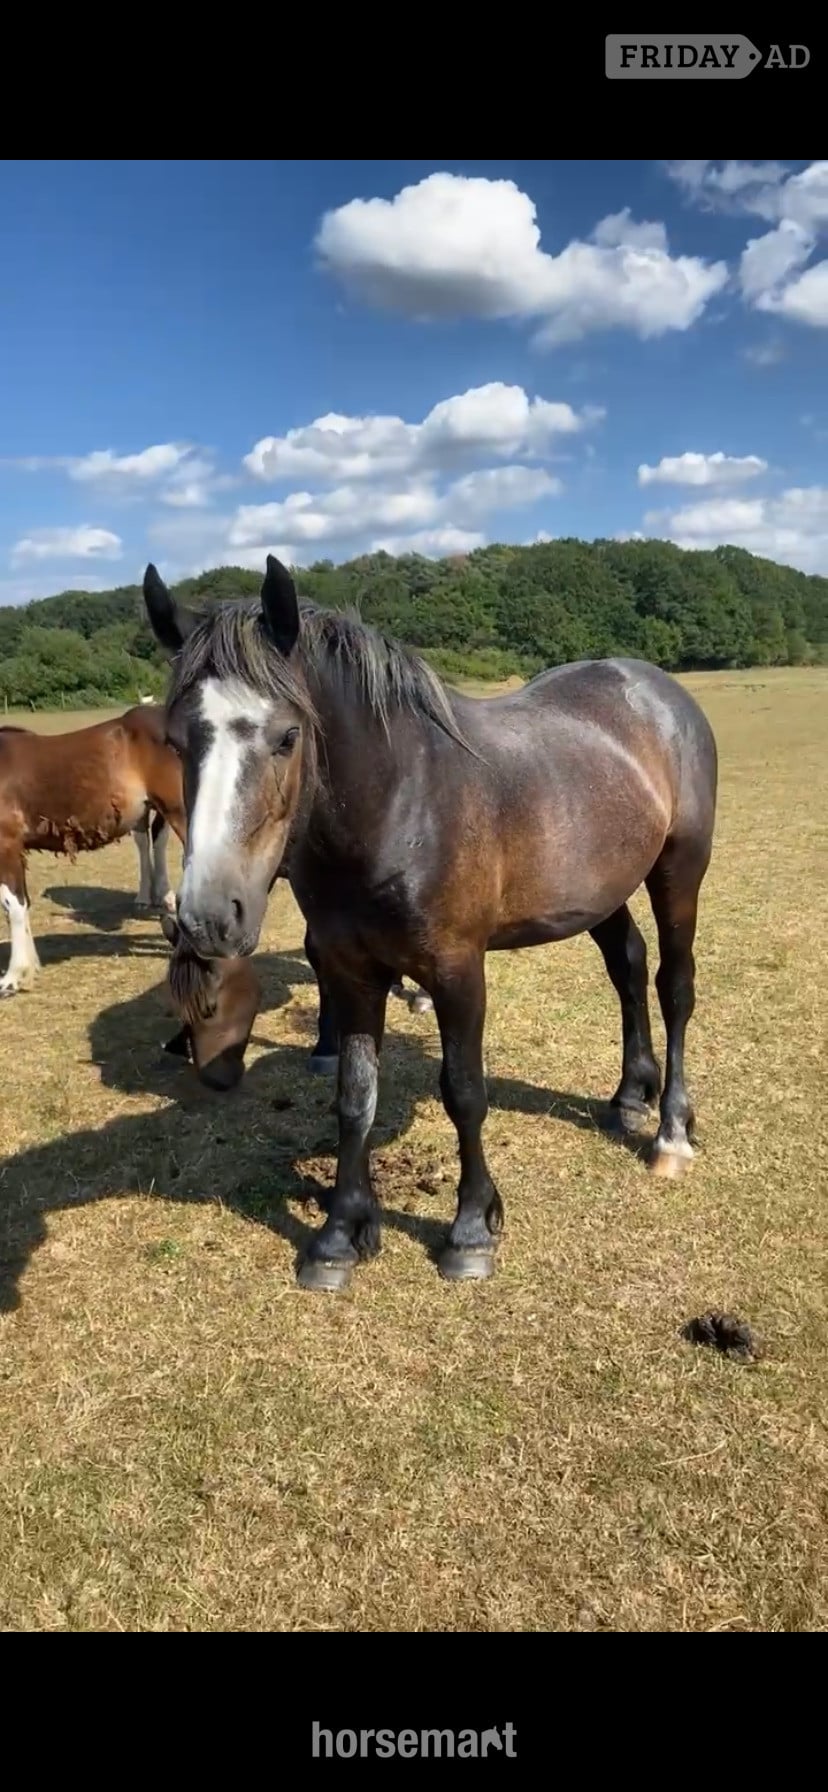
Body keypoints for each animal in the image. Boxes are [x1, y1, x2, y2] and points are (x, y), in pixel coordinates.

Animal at [142, 555, 718, 1296]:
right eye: (175, 741)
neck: (400, 805)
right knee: (627, 965)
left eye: (287, 737)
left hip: (679, 868)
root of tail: (655, 688)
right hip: (598, 888)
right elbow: (354, 1096)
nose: (211, 916)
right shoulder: (351, 972)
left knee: (674, 985)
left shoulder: (456, 971)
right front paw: (340, 1235)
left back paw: (671, 1131)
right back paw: (628, 1097)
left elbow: (464, 1093)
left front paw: (471, 1231)